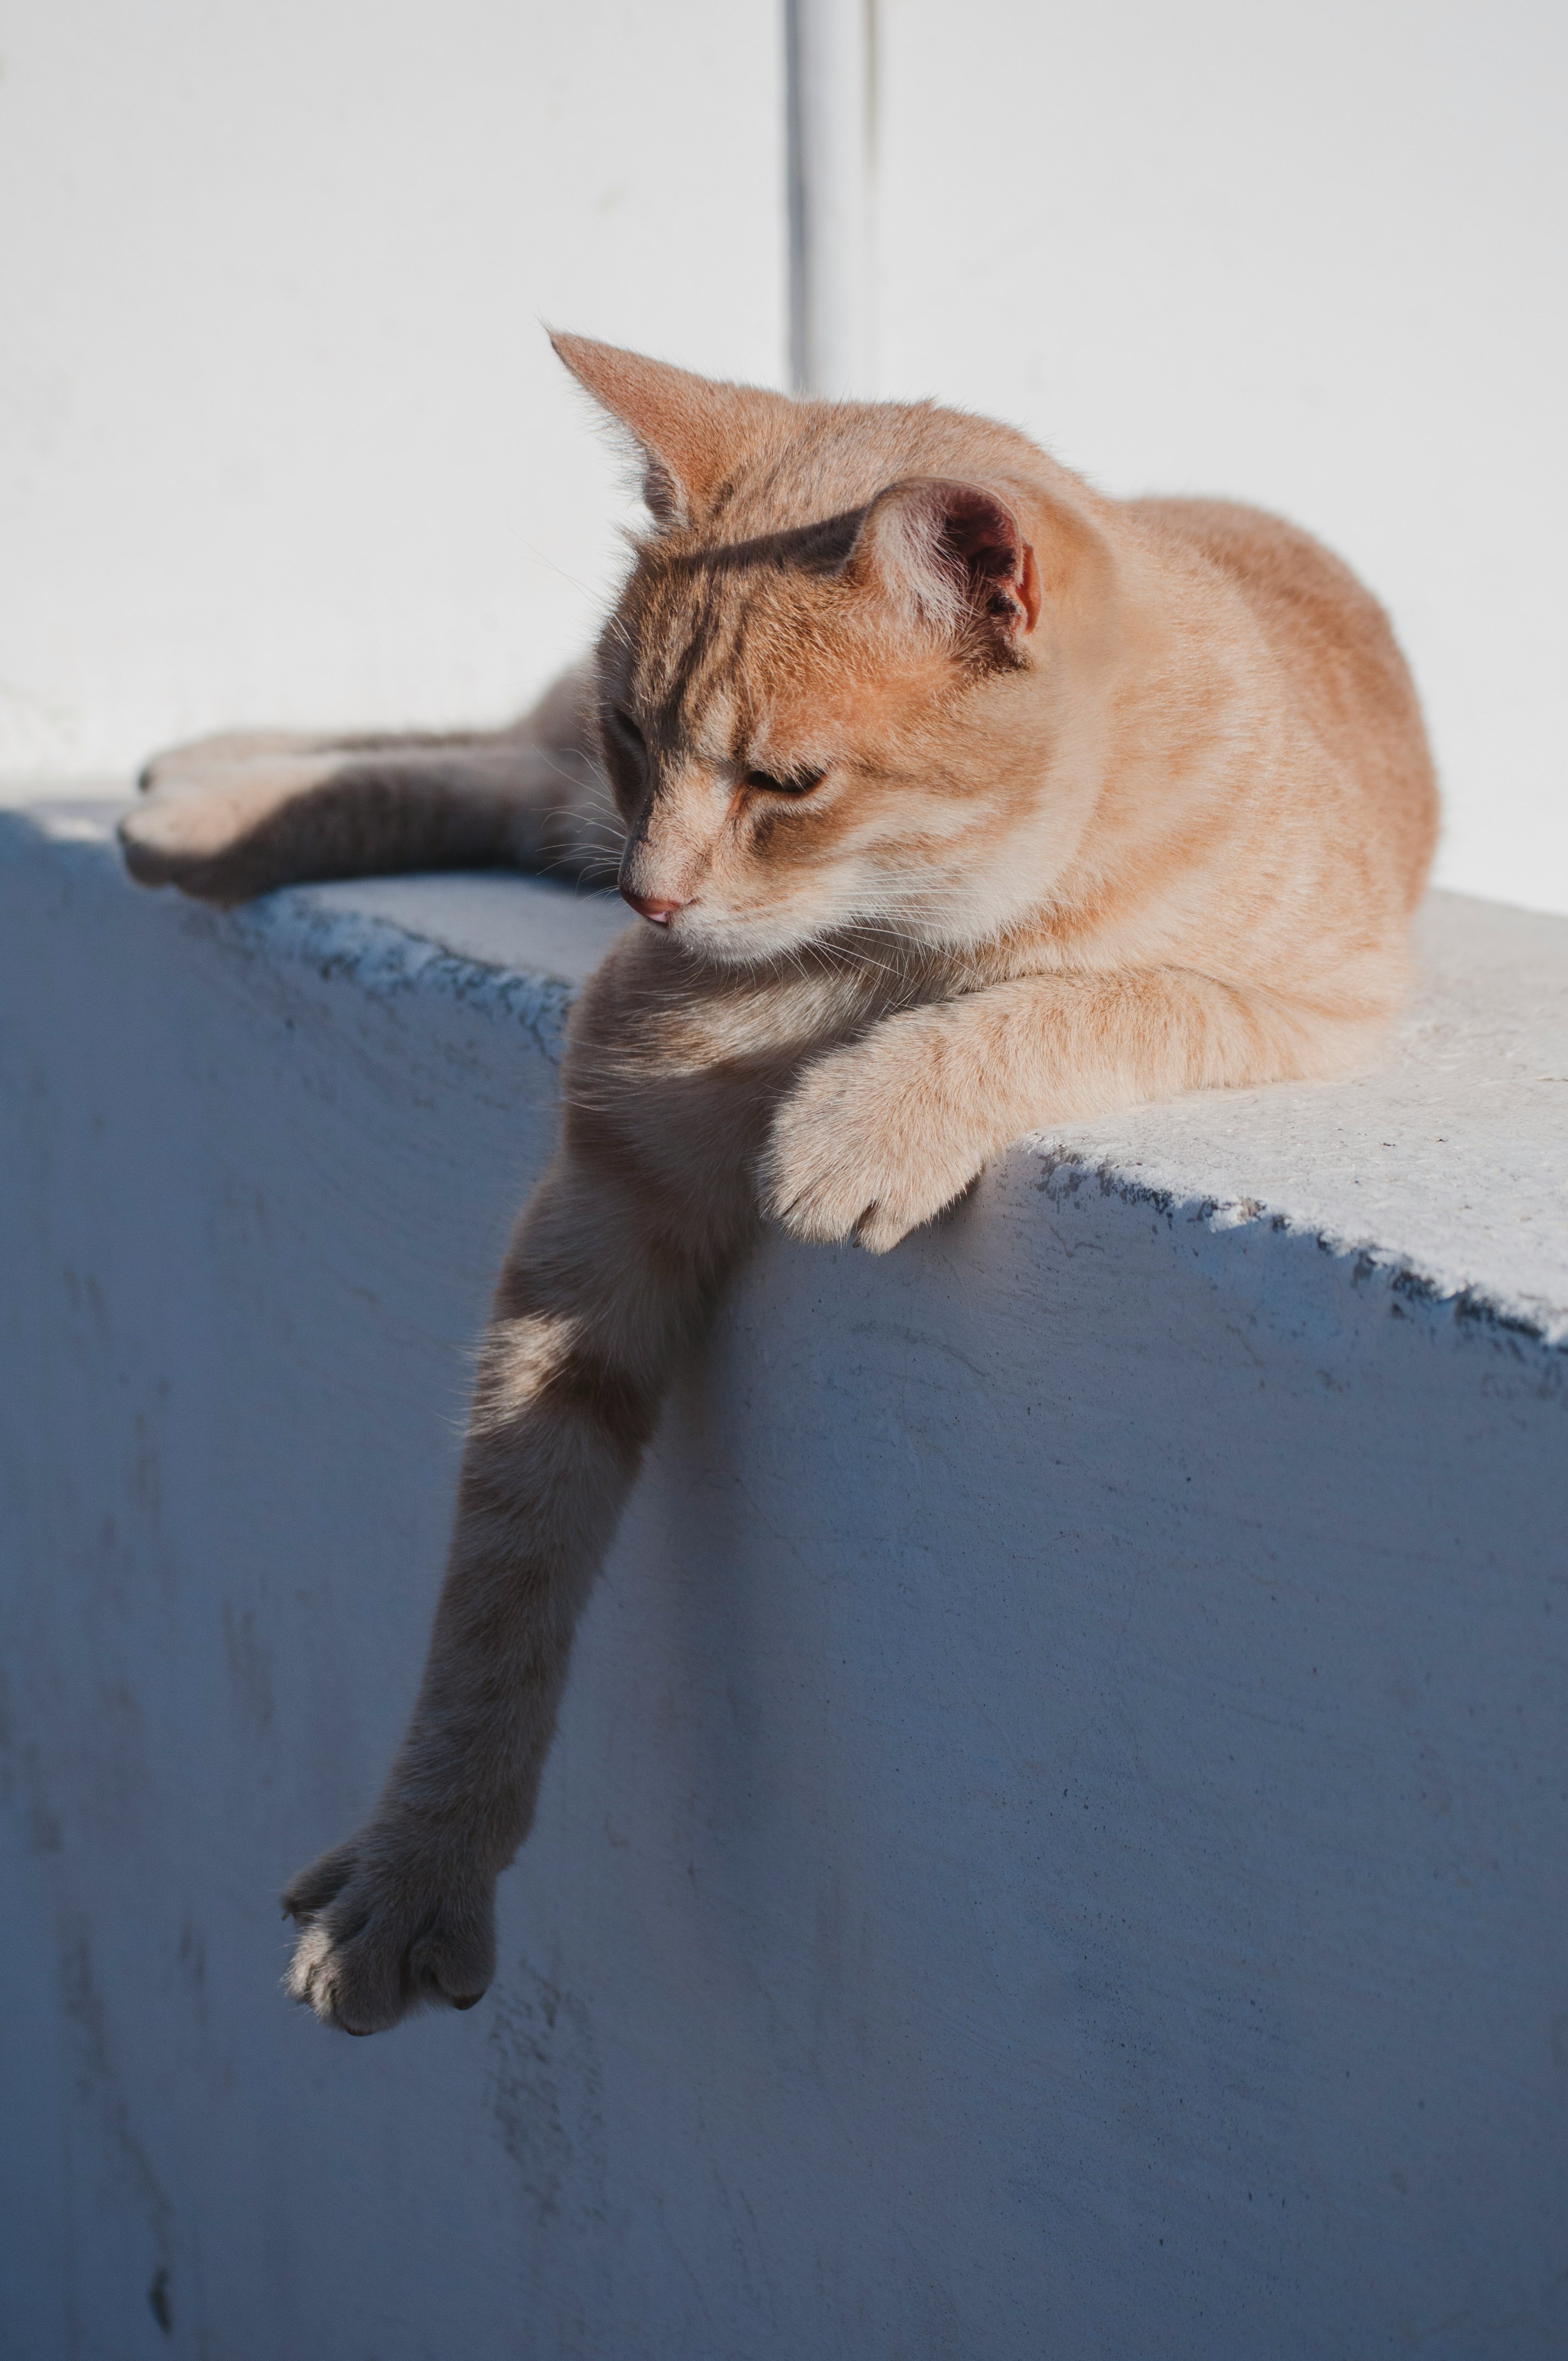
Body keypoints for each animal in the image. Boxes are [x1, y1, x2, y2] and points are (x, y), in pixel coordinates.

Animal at [119, 333, 1445, 2030]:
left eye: (787, 780)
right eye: (638, 731)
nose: (648, 897)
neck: (884, 947)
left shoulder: (1317, 994)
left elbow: (1089, 1001)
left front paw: (863, 1121)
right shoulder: (604, 1184)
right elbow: (499, 1576)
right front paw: (420, 1858)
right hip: (549, 801)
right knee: (476, 757)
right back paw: (202, 790)